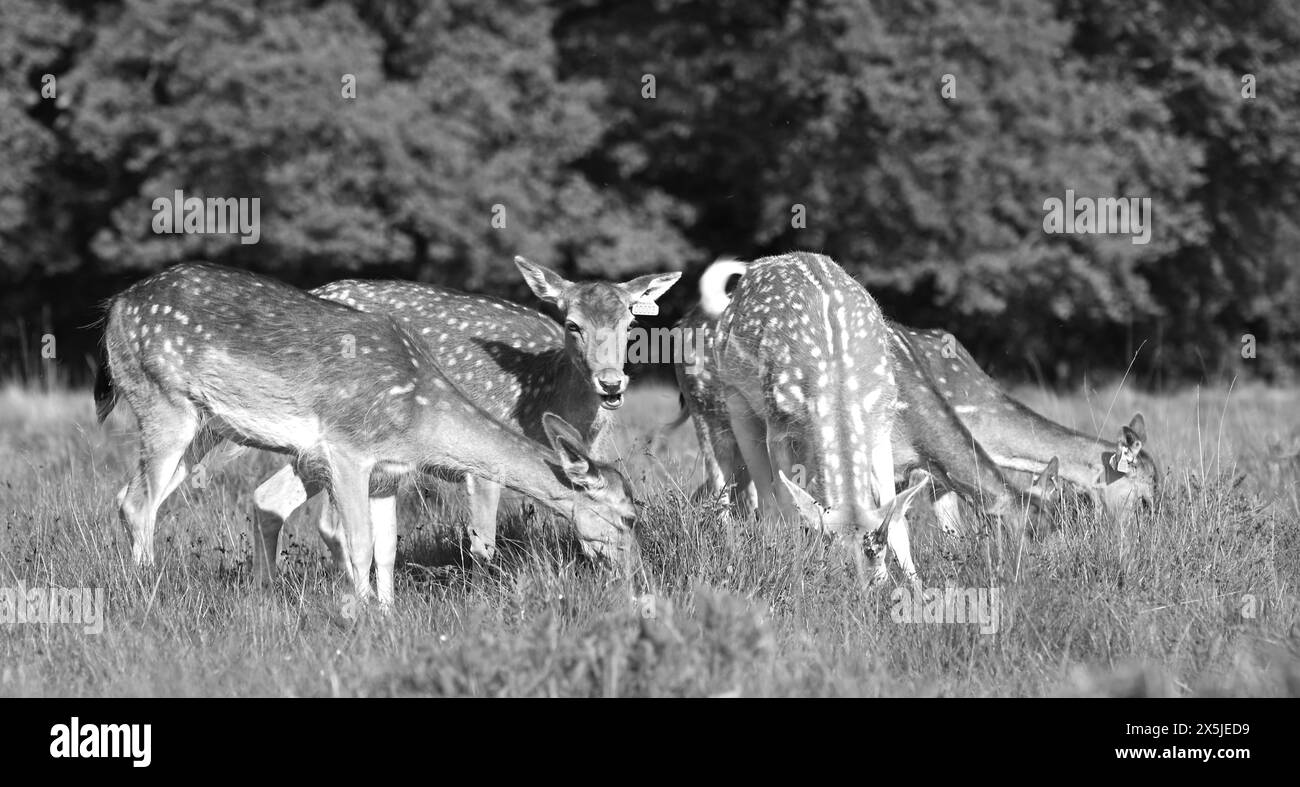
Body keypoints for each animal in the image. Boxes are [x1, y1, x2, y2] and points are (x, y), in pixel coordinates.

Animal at [94, 262, 641, 607]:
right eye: (628, 516)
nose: (635, 575)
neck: (423, 415)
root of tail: (115, 306)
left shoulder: (389, 472)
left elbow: (388, 549)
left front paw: (388, 614)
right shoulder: (347, 450)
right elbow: (355, 540)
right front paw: (360, 618)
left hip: (205, 426)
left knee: (134, 493)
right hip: (161, 398)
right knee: (139, 501)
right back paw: (147, 590)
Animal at [246, 258, 680, 585]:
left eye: (630, 324)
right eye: (573, 324)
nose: (611, 383)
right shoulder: (483, 464)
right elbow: (483, 542)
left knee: (270, 496)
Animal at [696, 251, 933, 587]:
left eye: (879, 551)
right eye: (837, 554)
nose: (870, 588)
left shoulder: (880, 424)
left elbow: (896, 513)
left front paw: (915, 586)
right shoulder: (779, 427)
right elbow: (787, 505)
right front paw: (793, 570)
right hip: (735, 399)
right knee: (758, 496)